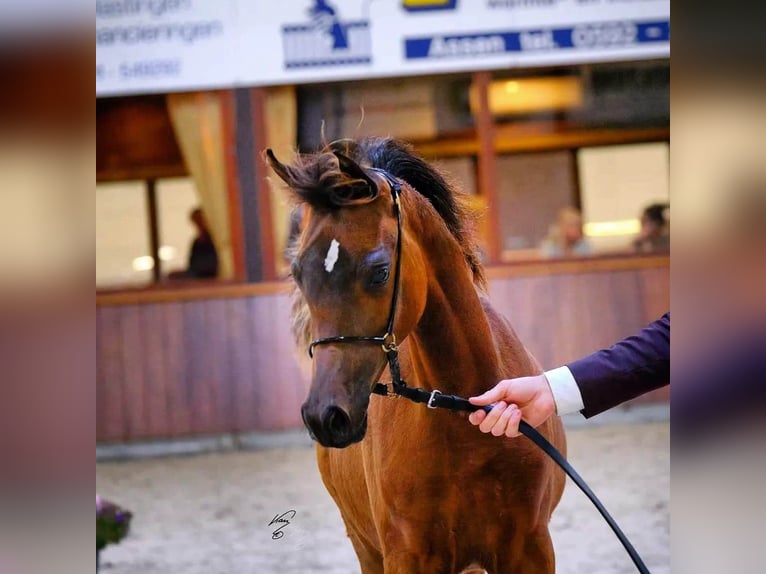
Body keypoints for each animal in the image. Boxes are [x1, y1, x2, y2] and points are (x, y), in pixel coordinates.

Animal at [268, 137, 568, 572]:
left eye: (380, 271)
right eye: (298, 273)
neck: (467, 427)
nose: (326, 416)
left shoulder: (531, 550)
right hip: (367, 547)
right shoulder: (407, 554)